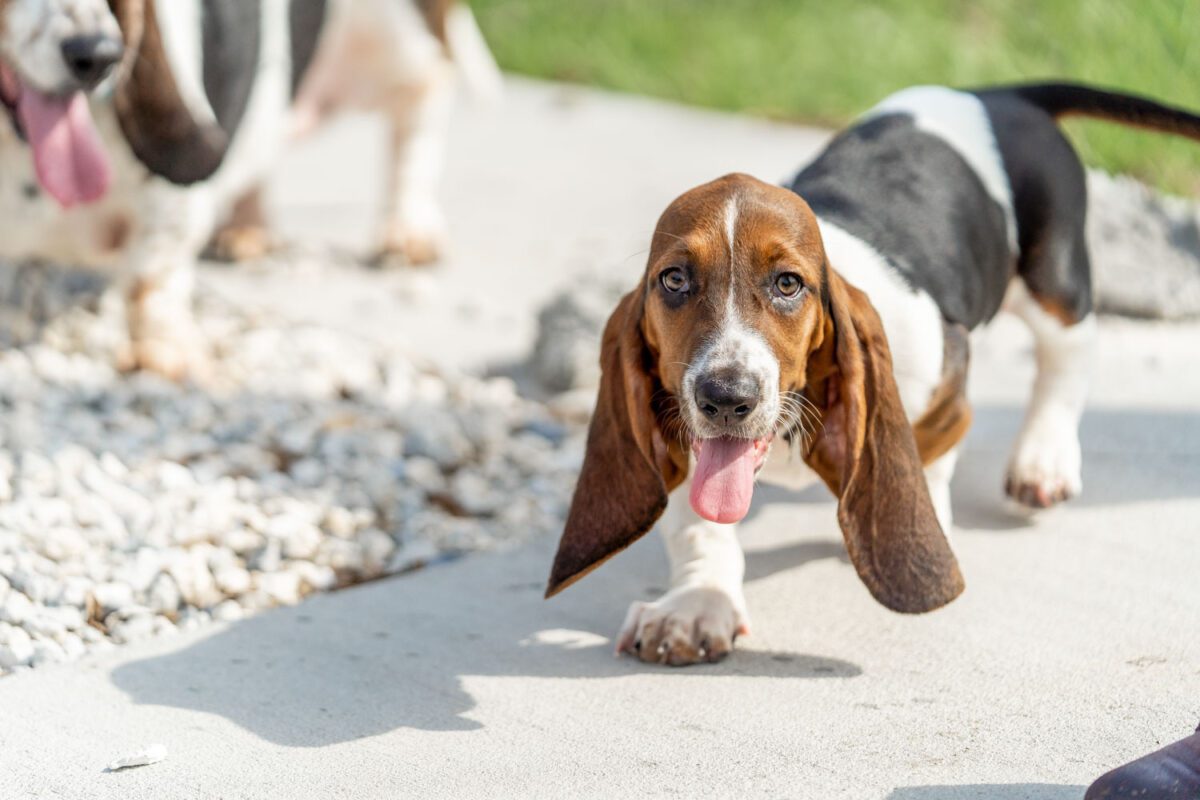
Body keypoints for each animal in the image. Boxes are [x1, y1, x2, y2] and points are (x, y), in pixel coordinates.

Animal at [0, 0, 496, 376]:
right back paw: (245, 230)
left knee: (422, 101)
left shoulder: (173, 207)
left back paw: (408, 230)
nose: (100, 56)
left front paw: (161, 354)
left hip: (398, 37)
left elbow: (151, 275)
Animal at [549, 84, 1200, 666]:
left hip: (1054, 276)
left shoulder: (944, 379)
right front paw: (695, 606)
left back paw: (1043, 462)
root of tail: (999, 95)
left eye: (789, 284)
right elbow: (698, 526)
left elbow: (928, 457)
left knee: (1068, 354)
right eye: (674, 279)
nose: (725, 397)